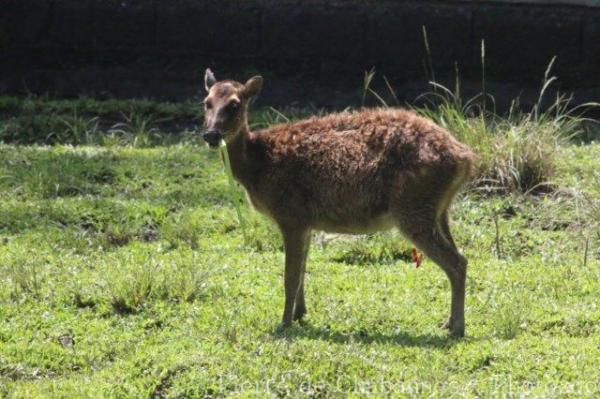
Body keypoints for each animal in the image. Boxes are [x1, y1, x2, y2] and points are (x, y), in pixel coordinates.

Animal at [203, 69, 478, 338]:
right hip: (438, 210)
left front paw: (284, 323)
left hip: (413, 208)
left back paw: (457, 327)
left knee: (457, 263)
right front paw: (300, 314)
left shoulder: (291, 215)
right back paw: (448, 323)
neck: (257, 165)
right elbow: (302, 270)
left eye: (235, 104)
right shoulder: (306, 222)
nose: (211, 135)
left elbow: (290, 276)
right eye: (207, 102)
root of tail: (466, 158)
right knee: (460, 257)